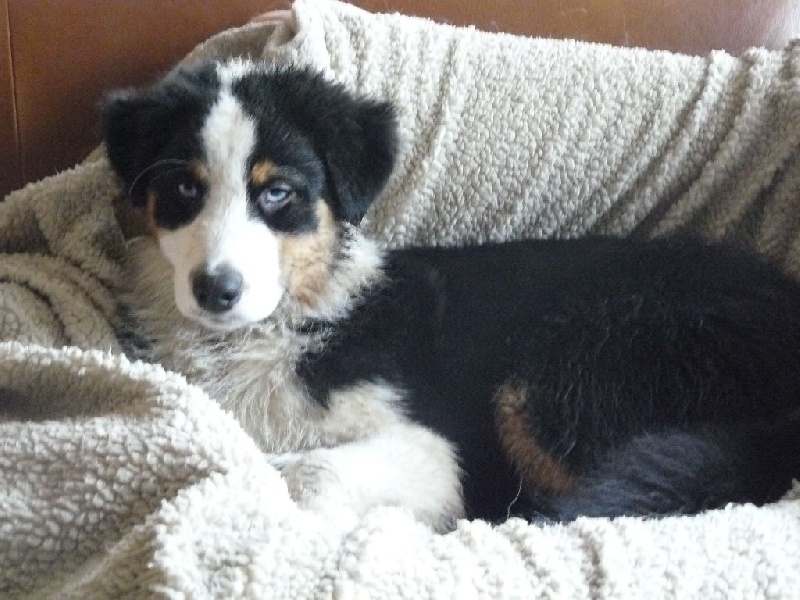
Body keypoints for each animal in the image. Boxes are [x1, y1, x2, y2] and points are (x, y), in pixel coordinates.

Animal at [103, 59, 800, 531]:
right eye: (185, 190)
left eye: (277, 193)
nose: (216, 290)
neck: (287, 325)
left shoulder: (435, 447)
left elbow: (314, 469)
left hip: (570, 367)